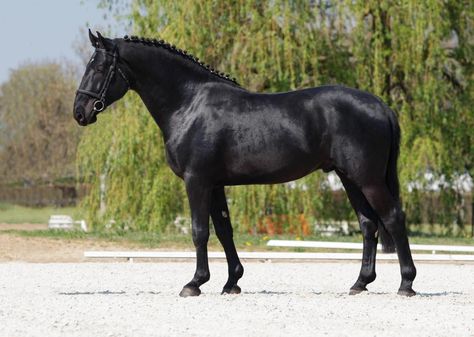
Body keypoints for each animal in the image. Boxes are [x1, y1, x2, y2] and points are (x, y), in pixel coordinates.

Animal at [73, 30, 414, 296]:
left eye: (100, 66)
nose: (80, 112)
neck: (189, 104)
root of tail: (381, 106)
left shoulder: (197, 181)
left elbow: (199, 231)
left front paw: (195, 283)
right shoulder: (215, 185)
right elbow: (224, 230)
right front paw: (231, 282)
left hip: (368, 179)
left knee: (393, 218)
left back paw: (406, 284)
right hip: (349, 178)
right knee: (368, 224)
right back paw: (360, 283)